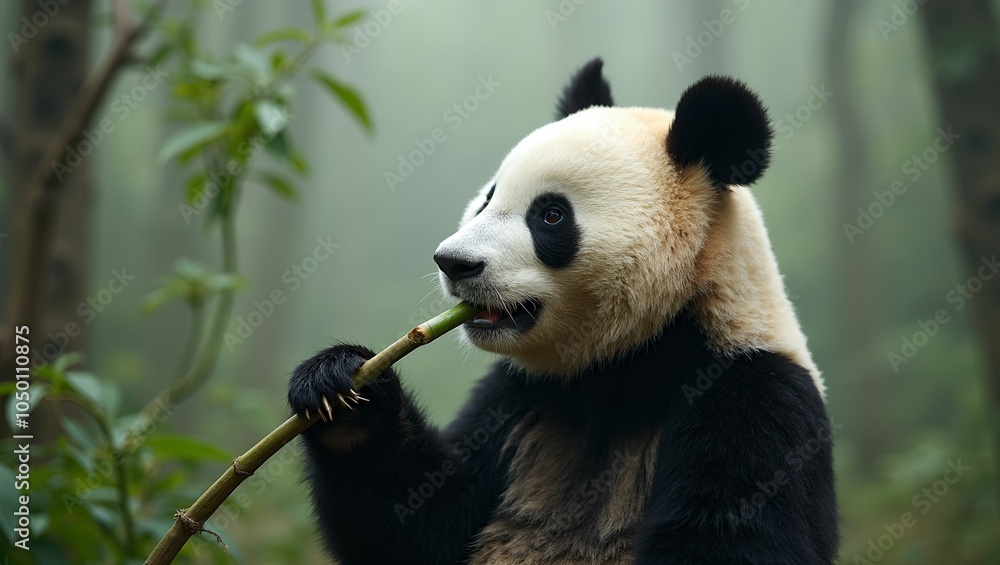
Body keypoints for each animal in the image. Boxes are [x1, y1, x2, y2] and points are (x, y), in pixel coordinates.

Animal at [288, 58, 838, 564]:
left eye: (550, 215)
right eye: (487, 198)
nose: (454, 262)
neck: (630, 364)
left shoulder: (752, 397)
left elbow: (733, 539)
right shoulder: (521, 395)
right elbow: (422, 524)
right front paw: (343, 391)